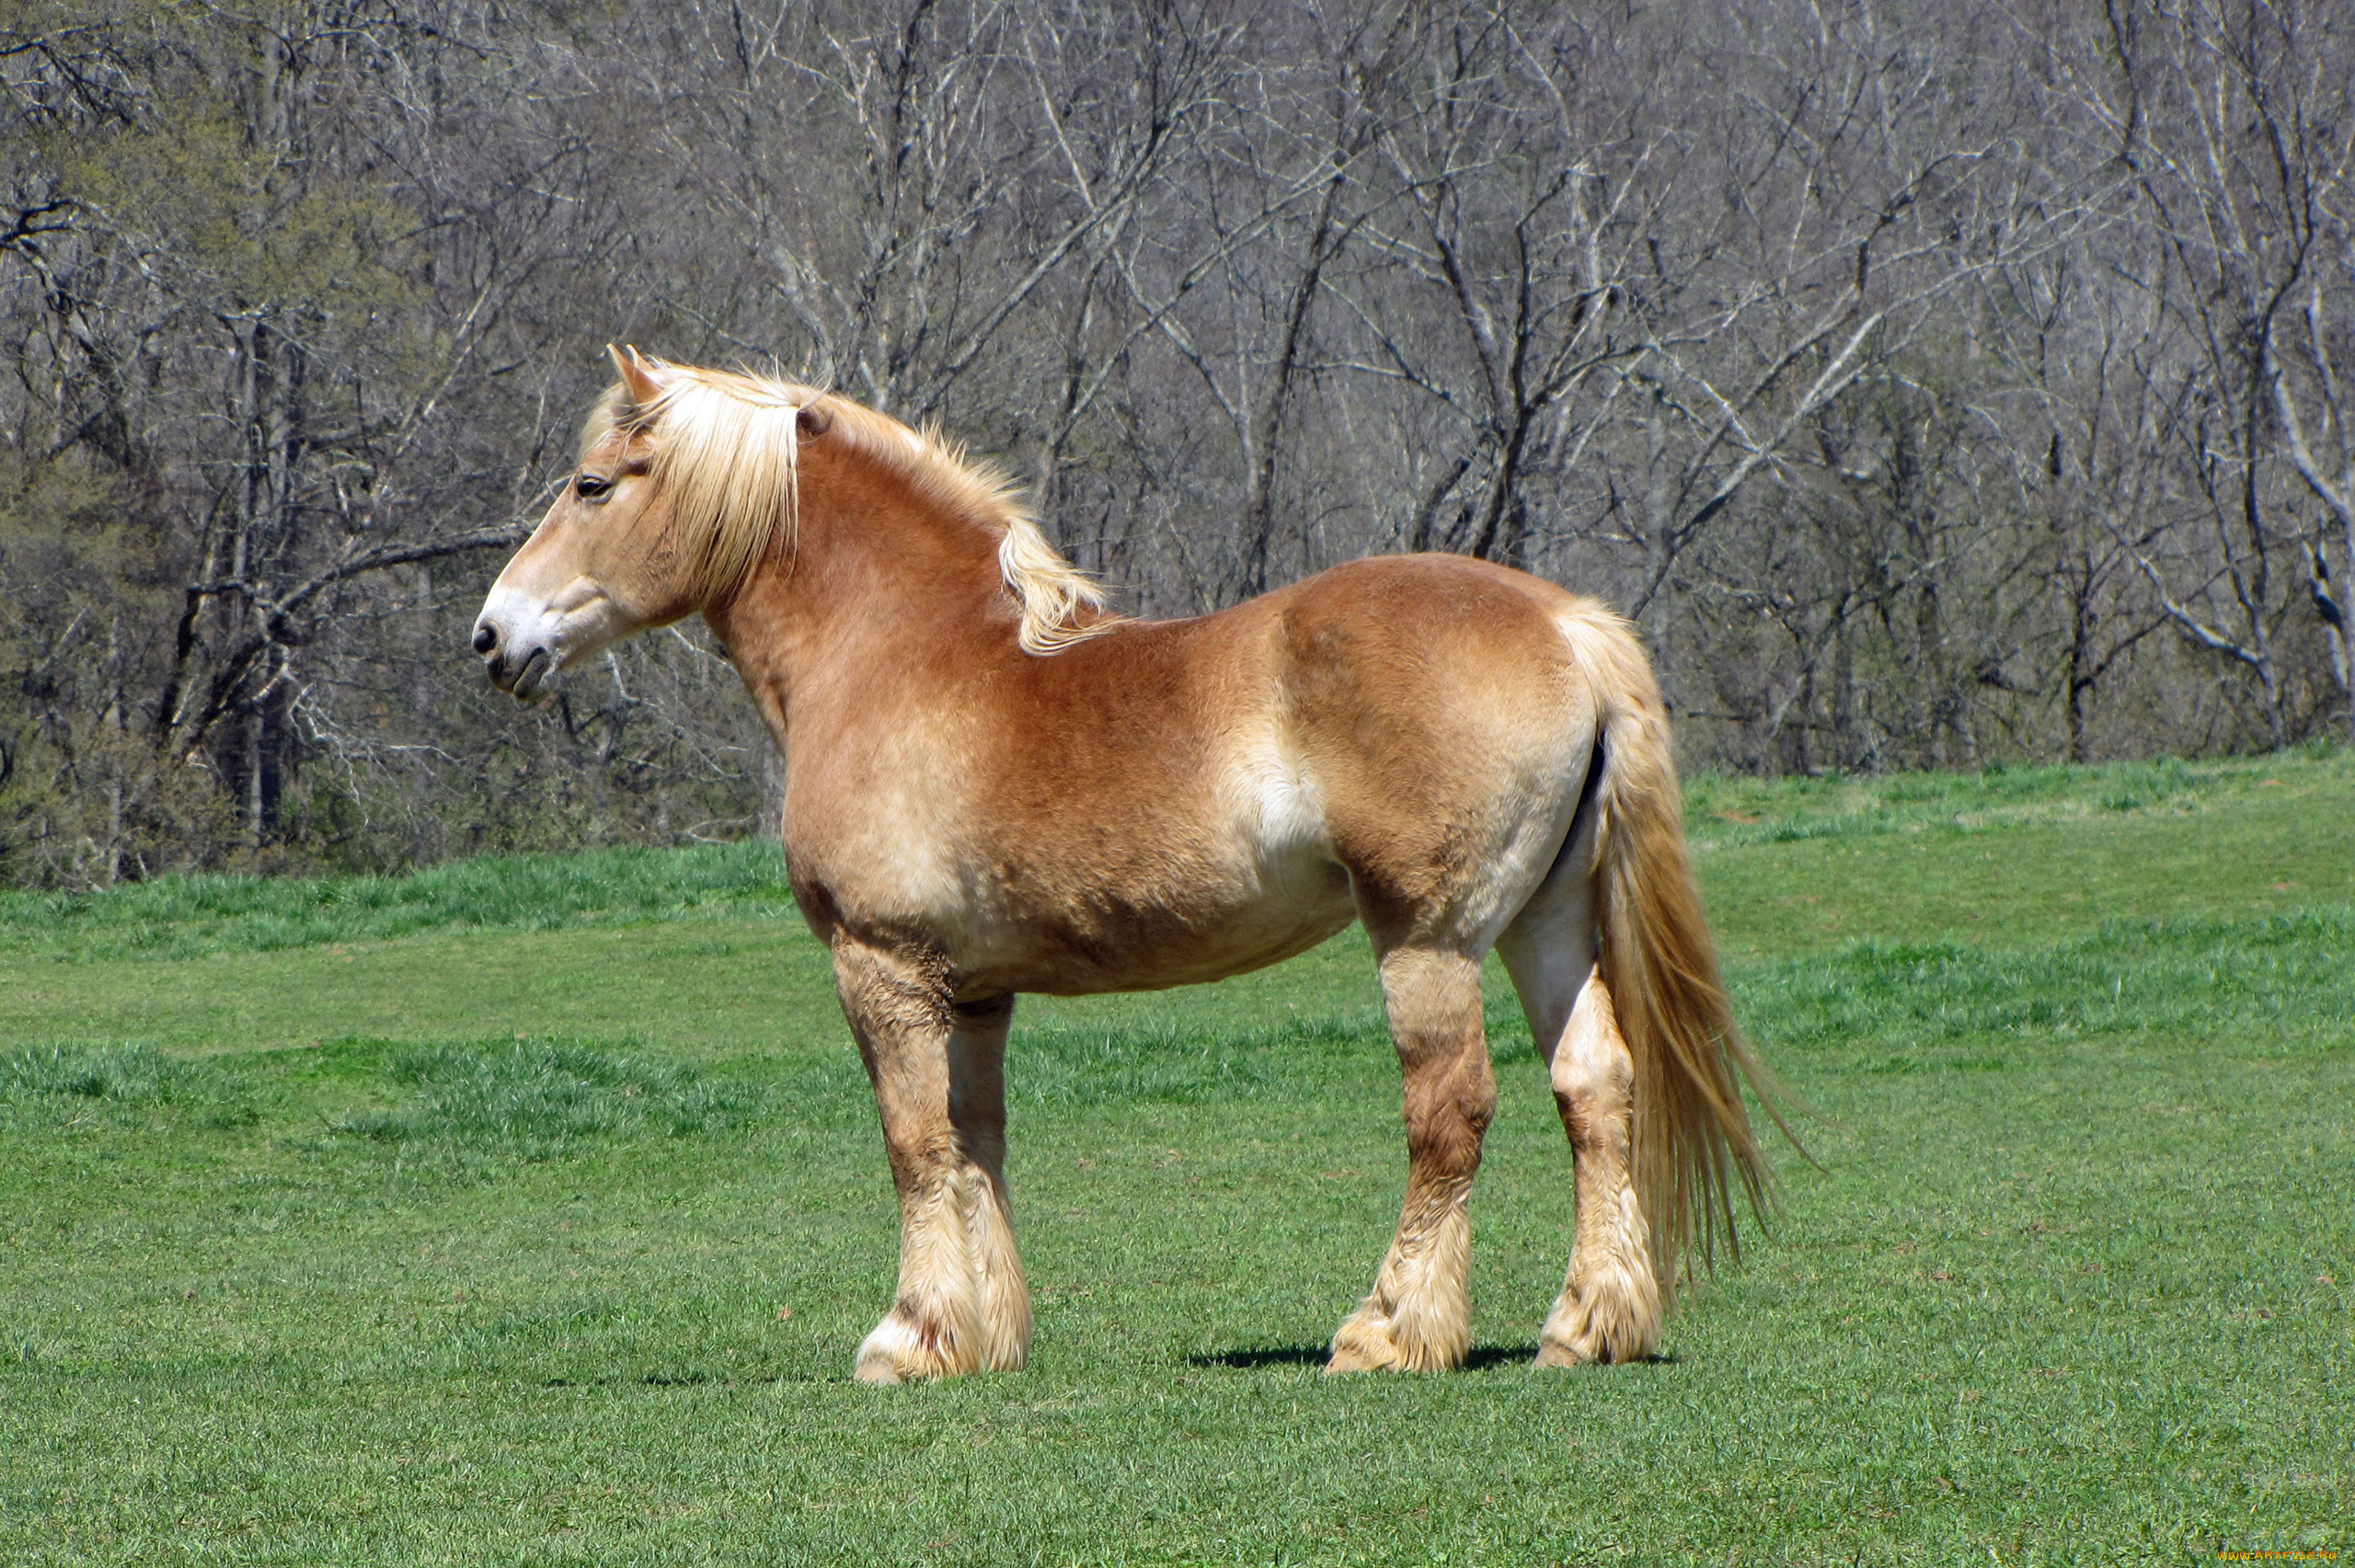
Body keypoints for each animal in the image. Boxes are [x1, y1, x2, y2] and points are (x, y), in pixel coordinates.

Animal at [470, 346, 1787, 1383]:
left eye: (591, 484)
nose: (492, 637)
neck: (901, 649)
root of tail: (1564, 622)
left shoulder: (879, 967)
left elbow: (912, 1143)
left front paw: (908, 1337)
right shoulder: (973, 991)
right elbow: (975, 1143)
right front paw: (983, 1337)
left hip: (1430, 937)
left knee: (1448, 1112)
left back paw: (1387, 1330)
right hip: (1540, 923)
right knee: (1593, 1089)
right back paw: (1587, 1324)